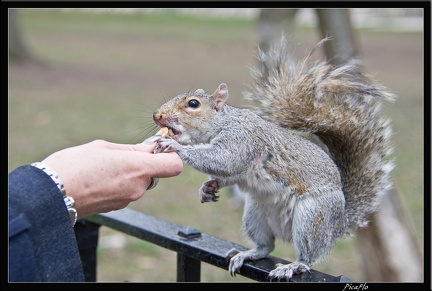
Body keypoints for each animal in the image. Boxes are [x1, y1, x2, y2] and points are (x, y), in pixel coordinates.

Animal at [151, 39, 394, 282]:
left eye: (193, 104)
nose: (157, 115)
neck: (224, 123)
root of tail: (340, 221)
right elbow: (230, 173)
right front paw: (208, 188)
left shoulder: (242, 140)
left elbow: (224, 160)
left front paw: (177, 148)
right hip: (255, 215)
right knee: (266, 246)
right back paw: (247, 254)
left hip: (312, 218)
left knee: (308, 255)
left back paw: (293, 266)